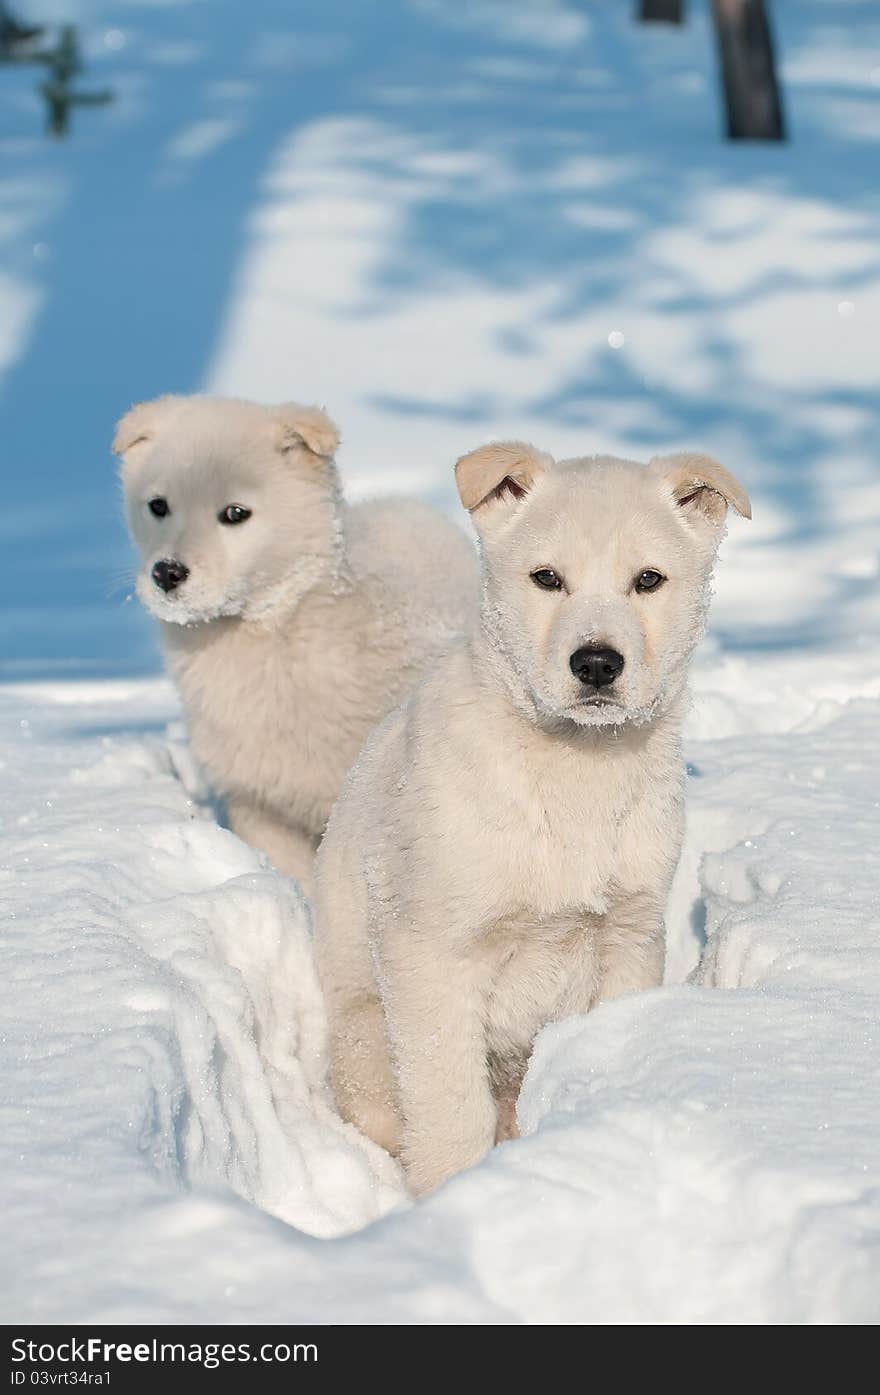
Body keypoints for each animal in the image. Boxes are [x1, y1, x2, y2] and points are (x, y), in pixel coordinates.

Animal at [313, 440, 753, 1194]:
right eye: (546, 578)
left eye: (648, 580)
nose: (597, 663)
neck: (572, 771)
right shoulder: (429, 953)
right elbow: (450, 1105)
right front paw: (450, 1193)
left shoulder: (630, 934)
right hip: (364, 1032)